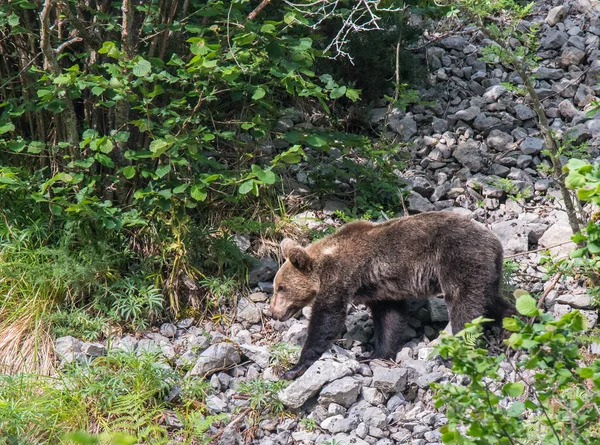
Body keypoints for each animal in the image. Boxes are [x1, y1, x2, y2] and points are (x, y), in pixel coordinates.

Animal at [270, 211, 512, 378]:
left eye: (281, 287)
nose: (273, 312)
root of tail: (495, 241)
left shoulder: (342, 275)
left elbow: (327, 317)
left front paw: (295, 368)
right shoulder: (381, 290)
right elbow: (390, 319)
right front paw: (375, 354)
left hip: (460, 258)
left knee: (465, 307)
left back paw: (455, 355)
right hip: (487, 271)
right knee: (492, 301)